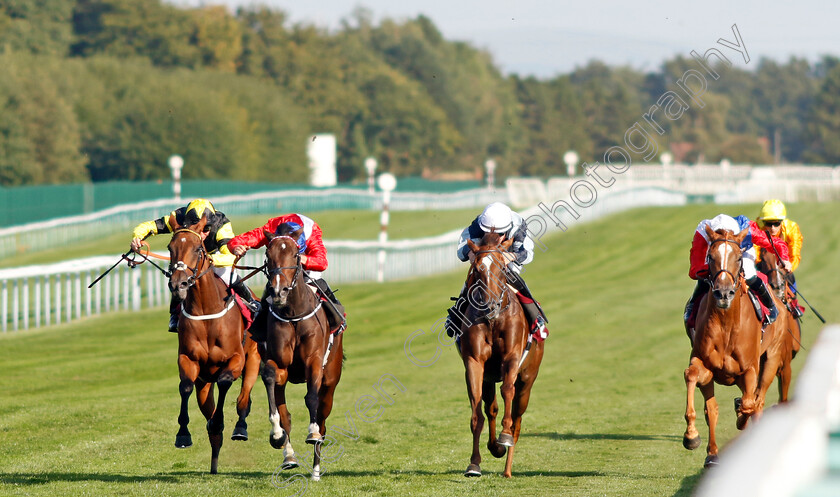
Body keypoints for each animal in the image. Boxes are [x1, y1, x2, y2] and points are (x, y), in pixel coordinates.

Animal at [169, 214, 260, 472]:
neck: (206, 310)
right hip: (204, 385)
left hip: (253, 361)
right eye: (170, 248)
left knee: (243, 400)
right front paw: (183, 434)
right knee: (207, 409)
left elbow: (226, 381)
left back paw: (239, 428)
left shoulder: (236, 359)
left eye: (197, 249)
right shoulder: (188, 360)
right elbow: (185, 387)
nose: (178, 285)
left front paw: (221, 423)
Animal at [260, 224, 344, 480]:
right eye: (268, 255)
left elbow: (311, 398)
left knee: (323, 417)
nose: (279, 291)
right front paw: (276, 435)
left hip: (331, 379)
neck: (293, 314)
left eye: (296, 254)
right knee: (285, 414)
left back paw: (316, 469)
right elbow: (270, 379)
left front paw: (312, 433)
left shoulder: (314, 361)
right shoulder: (279, 364)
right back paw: (288, 457)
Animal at [456, 232, 540, 476]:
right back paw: (496, 448)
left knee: (517, 420)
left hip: (527, 380)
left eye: (502, 267)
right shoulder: (475, 363)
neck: (493, 321)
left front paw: (504, 436)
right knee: (491, 409)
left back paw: (507, 468)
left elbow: (507, 391)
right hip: (489, 378)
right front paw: (474, 463)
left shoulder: (512, 357)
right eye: (477, 268)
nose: (490, 306)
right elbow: (477, 412)